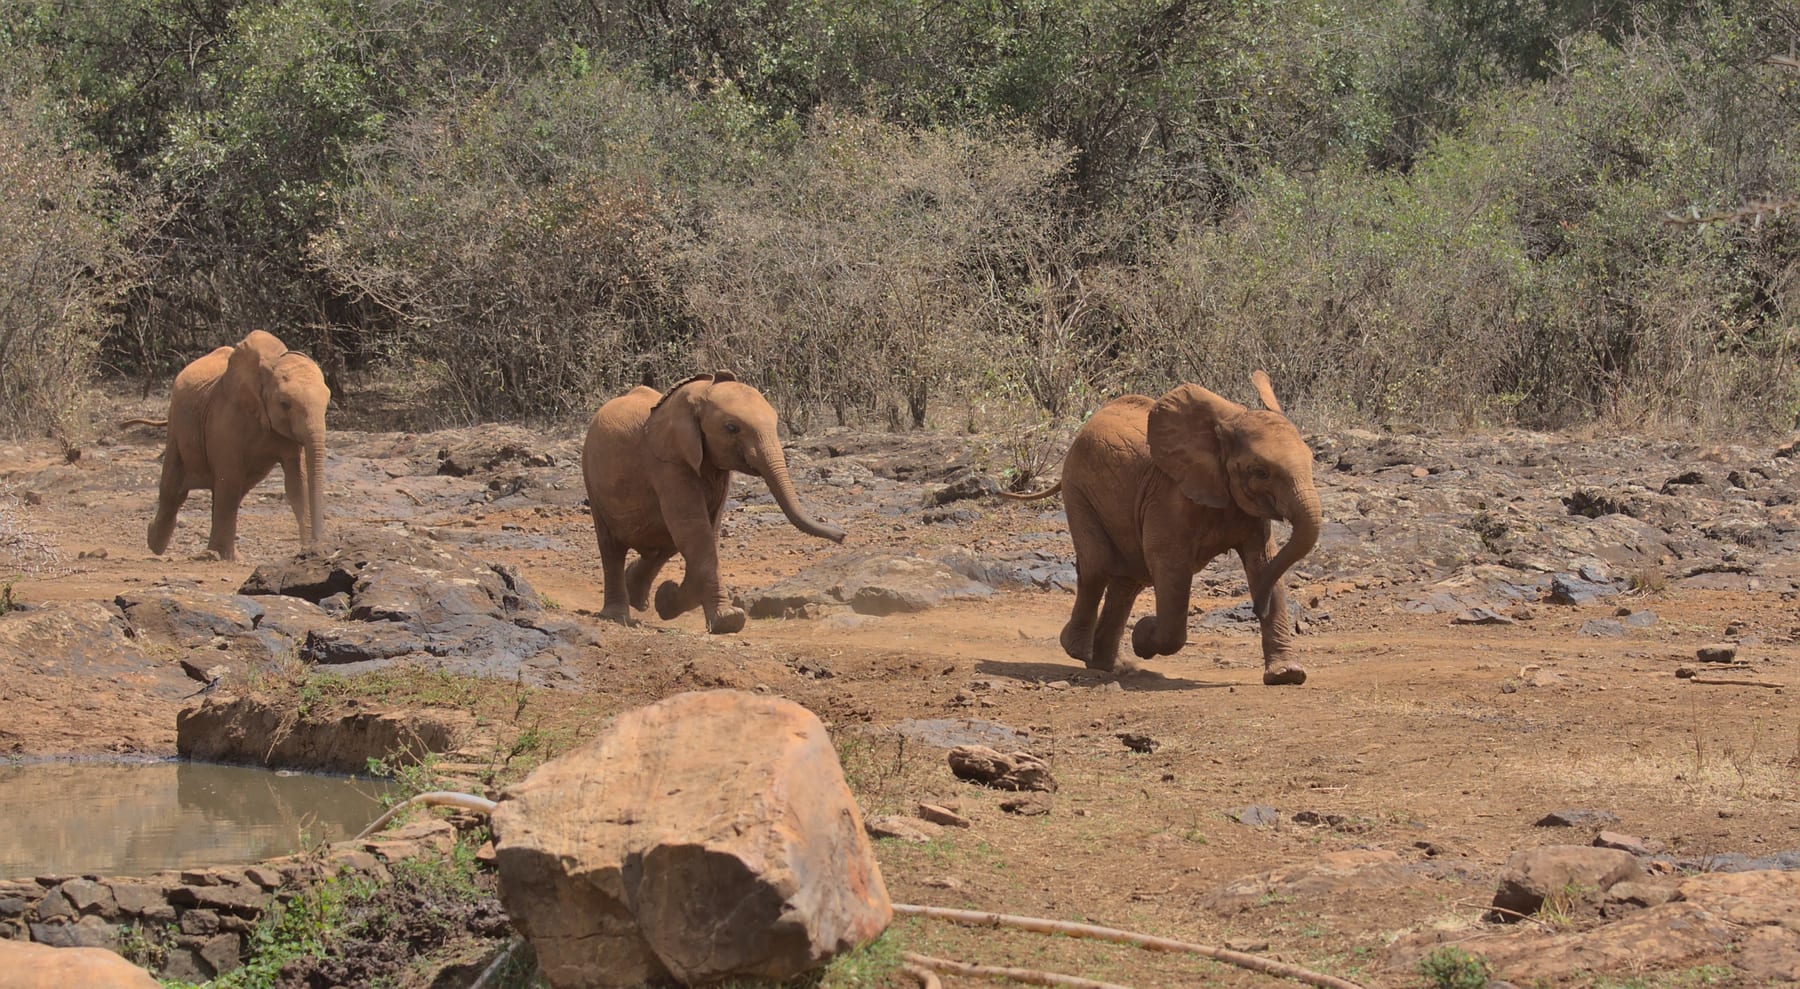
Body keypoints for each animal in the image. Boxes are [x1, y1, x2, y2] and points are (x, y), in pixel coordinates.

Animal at [140, 330, 330, 562]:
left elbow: (297, 483)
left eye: (327, 403)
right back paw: (155, 542)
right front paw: (226, 557)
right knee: (174, 490)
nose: (319, 548)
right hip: (177, 422)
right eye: (285, 404)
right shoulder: (226, 417)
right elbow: (229, 479)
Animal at [582, 372, 847, 633]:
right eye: (731, 428)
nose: (843, 536)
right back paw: (617, 615)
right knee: (613, 547)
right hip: (593, 482)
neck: (697, 393)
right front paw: (728, 621)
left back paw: (639, 597)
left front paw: (666, 599)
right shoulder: (668, 463)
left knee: (665, 543)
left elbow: (708, 530)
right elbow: (695, 531)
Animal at [1005, 371, 1321, 684]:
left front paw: (1288, 675)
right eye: (1260, 472)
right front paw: (1142, 634)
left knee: (1129, 579)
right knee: (1098, 567)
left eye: (1311, 461)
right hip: (1079, 490)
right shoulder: (1169, 497)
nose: (1256, 607)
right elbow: (1169, 564)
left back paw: (1109, 665)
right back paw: (1079, 650)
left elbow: (1264, 563)